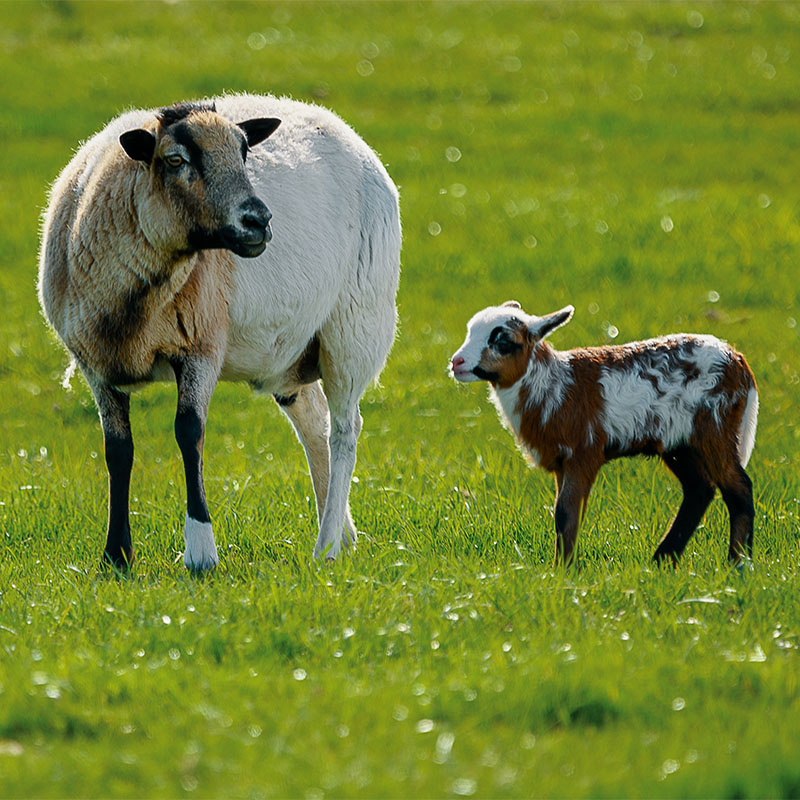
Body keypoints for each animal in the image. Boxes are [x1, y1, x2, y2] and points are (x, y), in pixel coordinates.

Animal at [37, 95, 400, 568]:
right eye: (175, 159)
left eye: (244, 153)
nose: (259, 221)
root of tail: (344, 130)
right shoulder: (95, 363)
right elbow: (118, 451)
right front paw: (116, 555)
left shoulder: (201, 345)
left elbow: (189, 432)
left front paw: (200, 551)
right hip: (295, 351)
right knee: (314, 423)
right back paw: (341, 533)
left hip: (354, 326)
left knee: (344, 431)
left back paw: (326, 548)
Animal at [450, 302, 756, 568]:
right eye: (470, 331)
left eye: (502, 342)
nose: (457, 362)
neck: (554, 384)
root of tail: (739, 362)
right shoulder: (562, 462)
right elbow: (563, 514)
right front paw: (562, 567)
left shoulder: (583, 453)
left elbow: (565, 513)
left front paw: (563, 572)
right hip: (679, 443)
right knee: (699, 489)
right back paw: (662, 561)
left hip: (716, 426)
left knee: (738, 489)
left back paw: (738, 564)